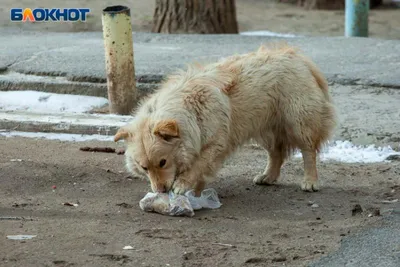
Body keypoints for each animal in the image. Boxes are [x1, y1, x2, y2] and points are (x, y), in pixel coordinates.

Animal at [114, 43, 336, 196]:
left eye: (162, 162)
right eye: (144, 168)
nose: (160, 191)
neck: (191, 113)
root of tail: (296, 57)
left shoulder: (215, 144)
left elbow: (198, 165)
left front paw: (184, 185)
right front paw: (196, 191)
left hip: (299, 123)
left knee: (308, 152)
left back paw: (310, 181)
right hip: (264, 127)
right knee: (276, 154)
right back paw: (268, 177)